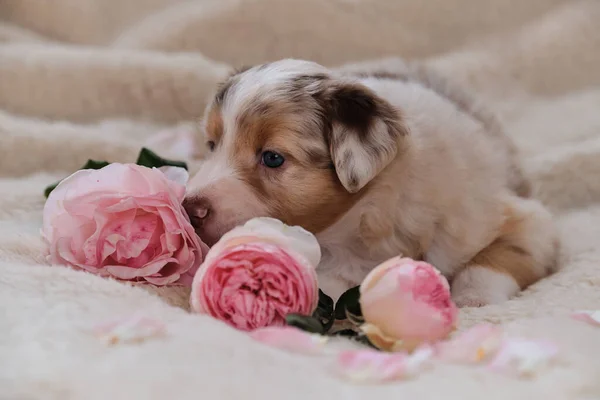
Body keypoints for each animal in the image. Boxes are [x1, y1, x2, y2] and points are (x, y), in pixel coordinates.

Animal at [184, 58, 556, 306]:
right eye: (212, 145)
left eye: (273, 158)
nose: (190, 209)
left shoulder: (518, 219)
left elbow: (493, 260)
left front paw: (474, 299)